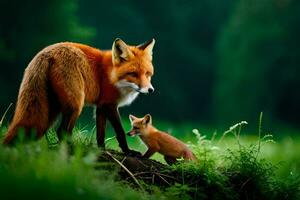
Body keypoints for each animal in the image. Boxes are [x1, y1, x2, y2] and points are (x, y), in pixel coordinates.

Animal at [3, 38, 156, 155]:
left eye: (147, 74)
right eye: (133, 74)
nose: (150, 90)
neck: (111, 75)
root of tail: (46, 52)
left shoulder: (101, 107)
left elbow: (100, 134)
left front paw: (102, 150)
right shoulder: (110, 104)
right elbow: (120, 132)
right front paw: (128, 151)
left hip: (51, 110)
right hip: (76, 105)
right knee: (62, 131)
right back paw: (72, 149)